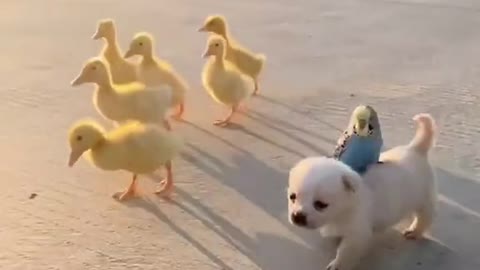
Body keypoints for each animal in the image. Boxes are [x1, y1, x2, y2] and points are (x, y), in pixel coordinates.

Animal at [288, 113, 438, 268]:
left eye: (321, 204)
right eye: (292, 197)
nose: (297, 216)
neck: (346, 207)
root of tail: (415, 148)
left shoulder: (357, 235)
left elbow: (345, 253)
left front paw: (337, 265)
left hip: (424, 199)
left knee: (425, 217)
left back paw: (414, 231)